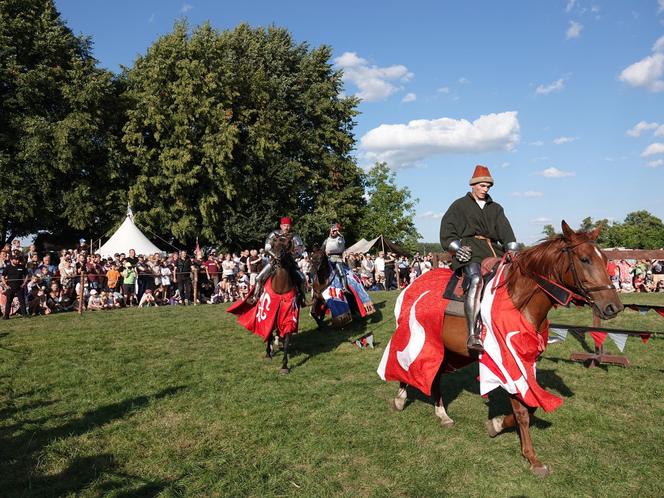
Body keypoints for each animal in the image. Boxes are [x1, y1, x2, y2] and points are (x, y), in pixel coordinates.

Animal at [390, 223, 624, 478]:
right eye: (585, 259)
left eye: (605, 259)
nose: (613, 307)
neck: (519, 301)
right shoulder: (508, 362)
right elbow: (523, 411)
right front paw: (532, 459)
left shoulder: (526, 362)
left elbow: (531, 407)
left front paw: (496, 425)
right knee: (407, 364)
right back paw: (400, 399)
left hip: (447, 349)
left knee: (435, 375)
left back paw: (442, 414)